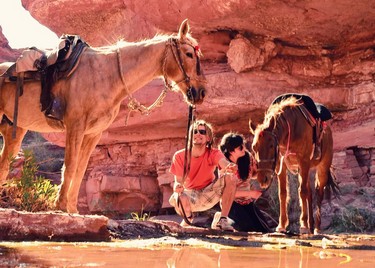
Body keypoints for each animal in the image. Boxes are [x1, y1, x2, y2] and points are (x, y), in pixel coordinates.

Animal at [0, 19, 207, 214]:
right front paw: (60, 206)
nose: (202, 92)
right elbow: (70, 166)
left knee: (5, 163)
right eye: (189, 54)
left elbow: (80, 169)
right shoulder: (75, 126)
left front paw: (72, 209)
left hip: (14, 130)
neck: (108, 75)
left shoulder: (93, 133)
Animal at [251, 96, 340, 234]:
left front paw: (303, 225)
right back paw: (311, 225)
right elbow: (283, 193)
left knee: (319, 193)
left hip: (322, 167)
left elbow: (301, 191)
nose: (263, 178)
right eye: (254, 147)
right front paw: (282, 225)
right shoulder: (281, 166)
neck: (290, 131)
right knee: (310, 192)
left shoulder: (303, 162)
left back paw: (317, 228)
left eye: (271, 145)